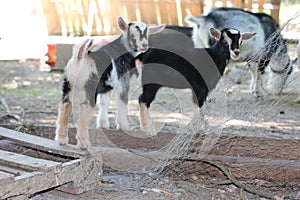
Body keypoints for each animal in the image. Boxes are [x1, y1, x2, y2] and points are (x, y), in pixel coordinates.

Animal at [55, 17, 165, 148]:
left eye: (147, 33)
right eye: (132, 33)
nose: (144, 45)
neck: (120, 49)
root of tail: (81, 57)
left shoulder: (104, 88)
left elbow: (104, 102)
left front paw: (103, 124)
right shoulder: (123, 82)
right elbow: (122, 101)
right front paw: (123, 126)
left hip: (69, 84)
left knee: (66, 104)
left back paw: (62, 140)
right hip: (89, 87)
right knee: (85, 106)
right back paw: (84, 144)